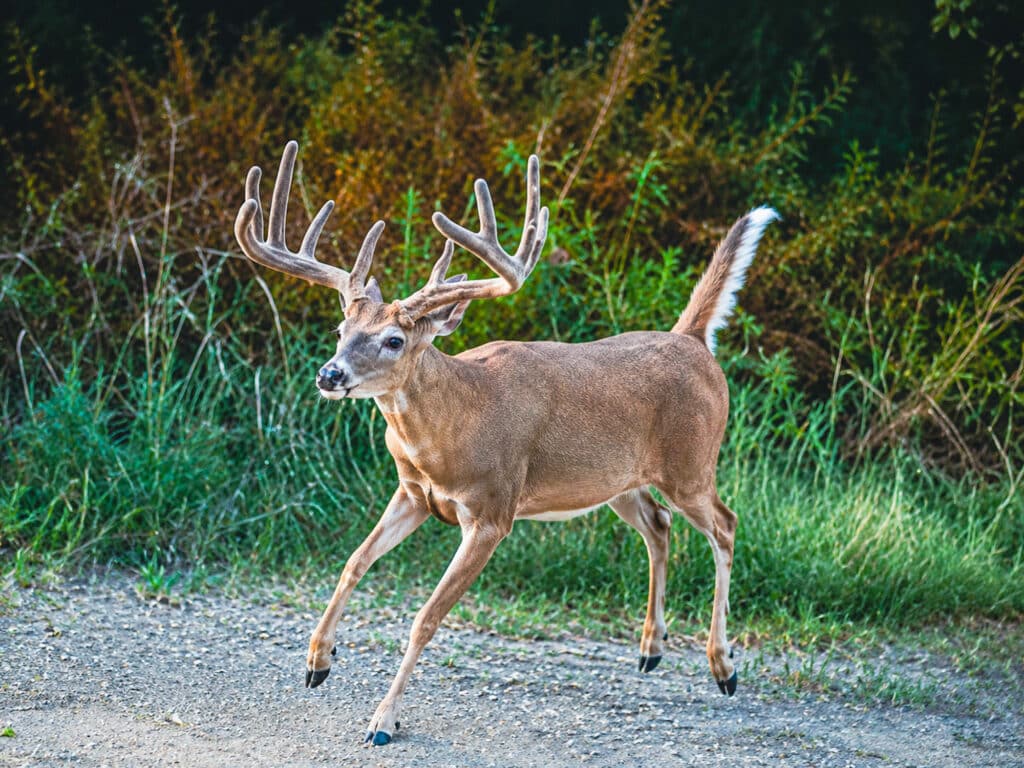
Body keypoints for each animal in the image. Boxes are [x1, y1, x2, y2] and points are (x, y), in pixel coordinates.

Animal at [233, 140, 778, 746]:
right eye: (339, 330)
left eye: (394, 340)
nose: (329, 374)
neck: (453, 430)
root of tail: (694, 341)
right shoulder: (412, 493)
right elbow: (353, 562)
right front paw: (317, 661)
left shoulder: (493, 513)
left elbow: (425, 617)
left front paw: (383, 721)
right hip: (615, 481)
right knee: (658, 526)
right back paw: (650, 649)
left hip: (691, 464)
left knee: (725, 525)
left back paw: (723, 665)